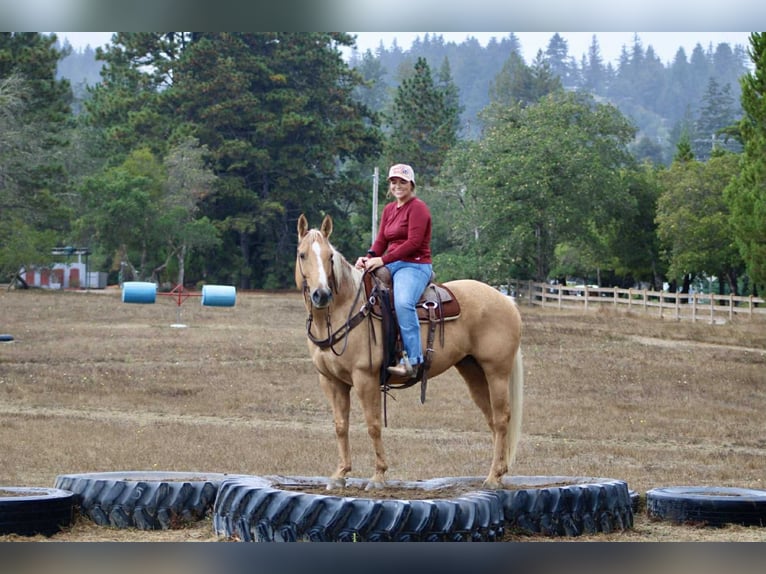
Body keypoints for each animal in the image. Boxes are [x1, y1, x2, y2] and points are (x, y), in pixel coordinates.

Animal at [295, 214, 524, 490]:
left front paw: (378, 476)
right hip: (473, 371)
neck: (347, 308)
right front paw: (340, 474)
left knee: (501, 419)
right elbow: (341, 426)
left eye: (330, 256)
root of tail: (506, 300)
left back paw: (492, 478)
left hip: (497, 371)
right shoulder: (331, 381)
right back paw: (498, 473)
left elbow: (373, 425)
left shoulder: (365, 378)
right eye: (302, 254)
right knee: (492, 419)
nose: (321, 294)